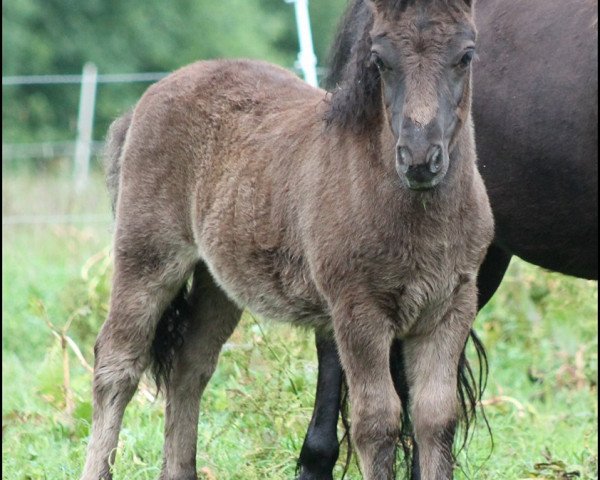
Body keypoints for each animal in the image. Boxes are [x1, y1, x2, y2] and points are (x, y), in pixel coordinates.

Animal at [81, 0, 492, 480]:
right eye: (379, 59)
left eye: (466, 55)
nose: (421, 159)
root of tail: (150, 96)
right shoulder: (357, 310)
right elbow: (377, 421)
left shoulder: (452, 305)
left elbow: (436, 416)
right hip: (148, 255)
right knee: (117, 363)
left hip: (218, 281)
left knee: (190, 365)